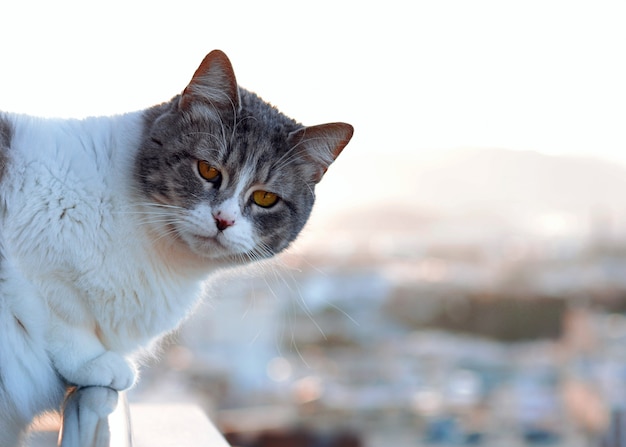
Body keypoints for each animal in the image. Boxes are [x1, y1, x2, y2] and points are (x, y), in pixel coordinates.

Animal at [0, 50, 352, 446]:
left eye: (265, 198)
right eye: (207, 170)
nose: (223, 220)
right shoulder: (31, 248)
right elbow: (60, 317)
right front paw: (95, 361)